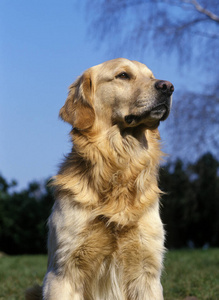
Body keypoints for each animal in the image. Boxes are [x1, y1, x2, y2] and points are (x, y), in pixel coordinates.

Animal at [24, 57, 174, 298]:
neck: (118, 166)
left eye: (151, 76)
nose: (168, 87)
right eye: (123, 75)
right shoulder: (63, 270)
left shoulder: (147, 269)